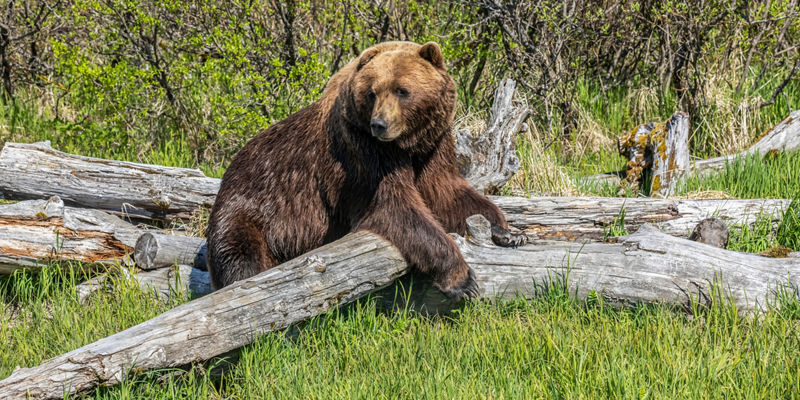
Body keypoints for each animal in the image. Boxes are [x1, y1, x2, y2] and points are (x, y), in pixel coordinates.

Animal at [206, 41, 526, 300]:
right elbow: (395, 207)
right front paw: (462, 279)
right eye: (372, 93)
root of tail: (227, 176)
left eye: (402, 90)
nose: (379, 124)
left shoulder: (433, 147)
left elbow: (447, 192)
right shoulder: (362, 154)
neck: (405, 145)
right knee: (240, 257)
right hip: (250, 208)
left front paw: (507, 231)